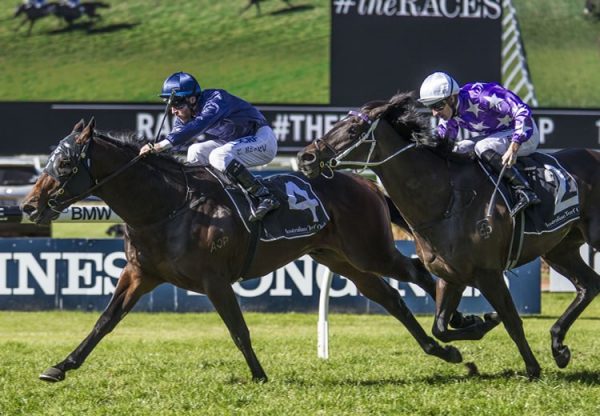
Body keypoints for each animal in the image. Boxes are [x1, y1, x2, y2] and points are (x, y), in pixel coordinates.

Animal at [21, 118, 462, 384]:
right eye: (50, 160)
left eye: (65, 163)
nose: (28, 206)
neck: (166, 205)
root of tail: (367, 183)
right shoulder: (140, 274)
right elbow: (104, 322)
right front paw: (61, 366)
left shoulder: (214, 280)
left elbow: (238, 329)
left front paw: (259, 375)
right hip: (339, 258)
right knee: (388, 297)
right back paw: (441, 349)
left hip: (370, 250)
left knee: (418, 273)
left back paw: (457, 324)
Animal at [298, 92, 600, 378]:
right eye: (337, 123)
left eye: (353, 129)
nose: (305, 157)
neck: (447, 200)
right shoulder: (450, 275)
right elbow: (440, 327)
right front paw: (479, 326)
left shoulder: (488, 273)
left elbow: (512, 321)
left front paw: (532, 368)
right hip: (559, 248)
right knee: (588, 285)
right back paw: (558, 346)